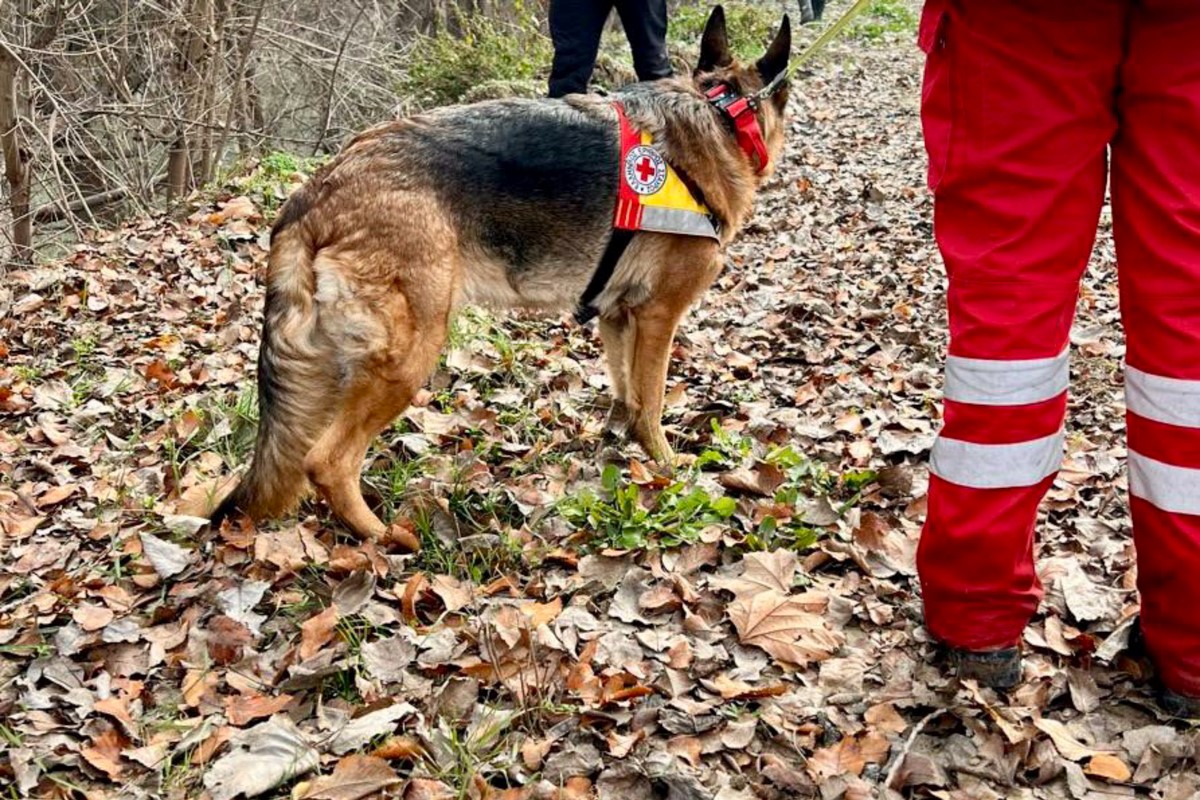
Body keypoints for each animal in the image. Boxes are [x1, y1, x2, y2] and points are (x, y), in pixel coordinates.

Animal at [213, 6, 796, 542]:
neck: (721, 111)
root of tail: (318, 188)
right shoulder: (658, 317)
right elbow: (651, 403)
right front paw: (668, 470)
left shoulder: (616, 318)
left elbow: (625, 395)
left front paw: (620, 447)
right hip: (409, 356)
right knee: (327, 461)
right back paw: (385, 537)